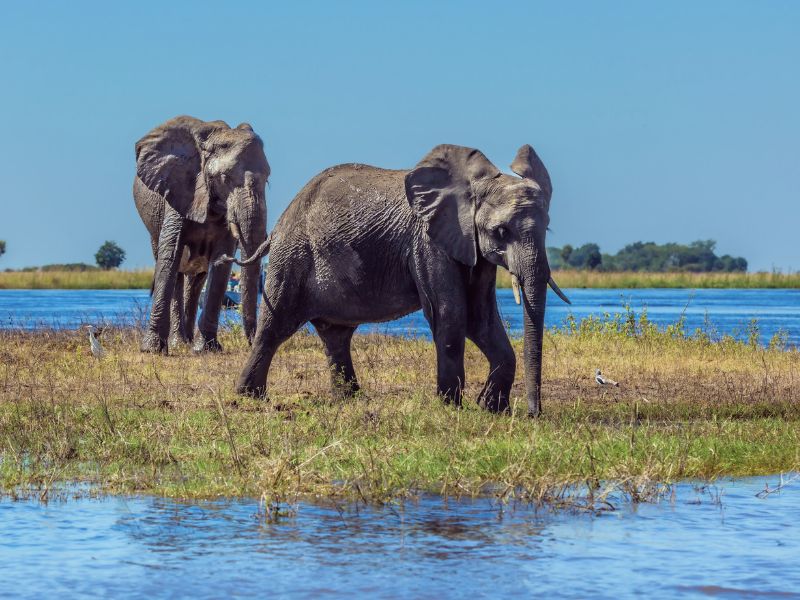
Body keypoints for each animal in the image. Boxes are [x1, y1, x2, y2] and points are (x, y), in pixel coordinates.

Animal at [133, 116, 270, 353]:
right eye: (225, 177)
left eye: (268, 178)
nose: (252, 343)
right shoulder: (178, 189)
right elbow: (170, 256)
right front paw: (152, 350)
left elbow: (220, 265)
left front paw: (206, 349)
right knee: (176, 271)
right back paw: (179, 343)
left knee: (197, 280)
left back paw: (188, 342)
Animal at [232, 143, 569, 416]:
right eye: (501, 231)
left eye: (548, 228)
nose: (534, 414)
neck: (475, 185)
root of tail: (279, 224)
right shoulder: (427, 241)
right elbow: (451, 312)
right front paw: (450, 407)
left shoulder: (473, 248)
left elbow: (481, 318)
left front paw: (491, 408)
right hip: (292, 256)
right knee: (274, 327)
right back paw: (249, 398)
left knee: (335, 335)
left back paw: (349, 399)